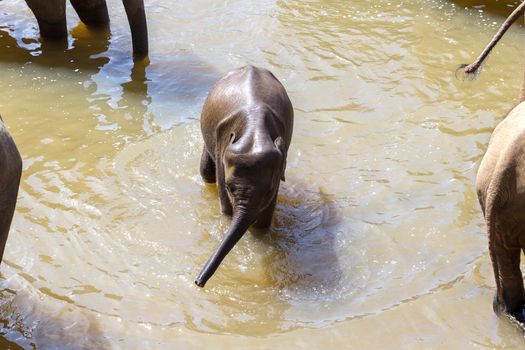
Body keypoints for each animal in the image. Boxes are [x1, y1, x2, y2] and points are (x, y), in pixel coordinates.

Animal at [196, 65, 292, 288]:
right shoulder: (222, 151)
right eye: (229, 187)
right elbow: (225, 206)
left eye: (268, 190)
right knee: (206, 172)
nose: (198, 282)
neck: (254, 132)